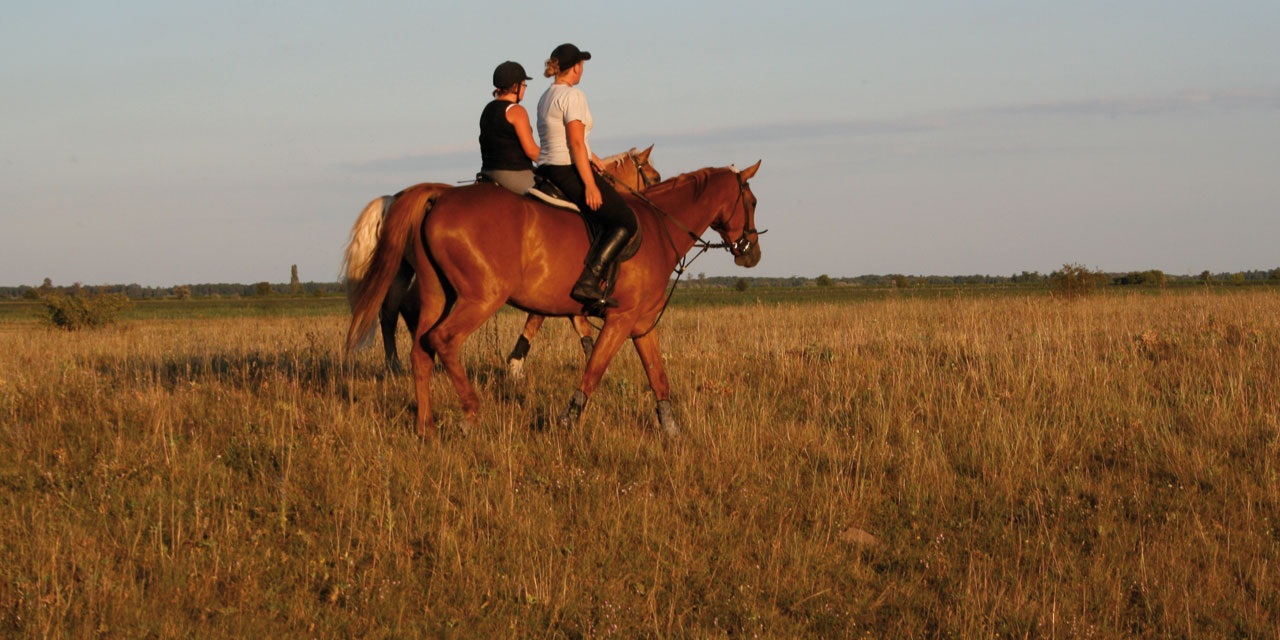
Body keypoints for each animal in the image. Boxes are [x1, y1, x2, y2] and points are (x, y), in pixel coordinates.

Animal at [340, 146, 660, 373]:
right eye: (655, 177)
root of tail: (398, 197)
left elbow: (571, 320)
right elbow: (540, 318)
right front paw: (516, 363)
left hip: (405, 271)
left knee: (392, 311)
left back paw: (397, 364)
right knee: (404, 311)